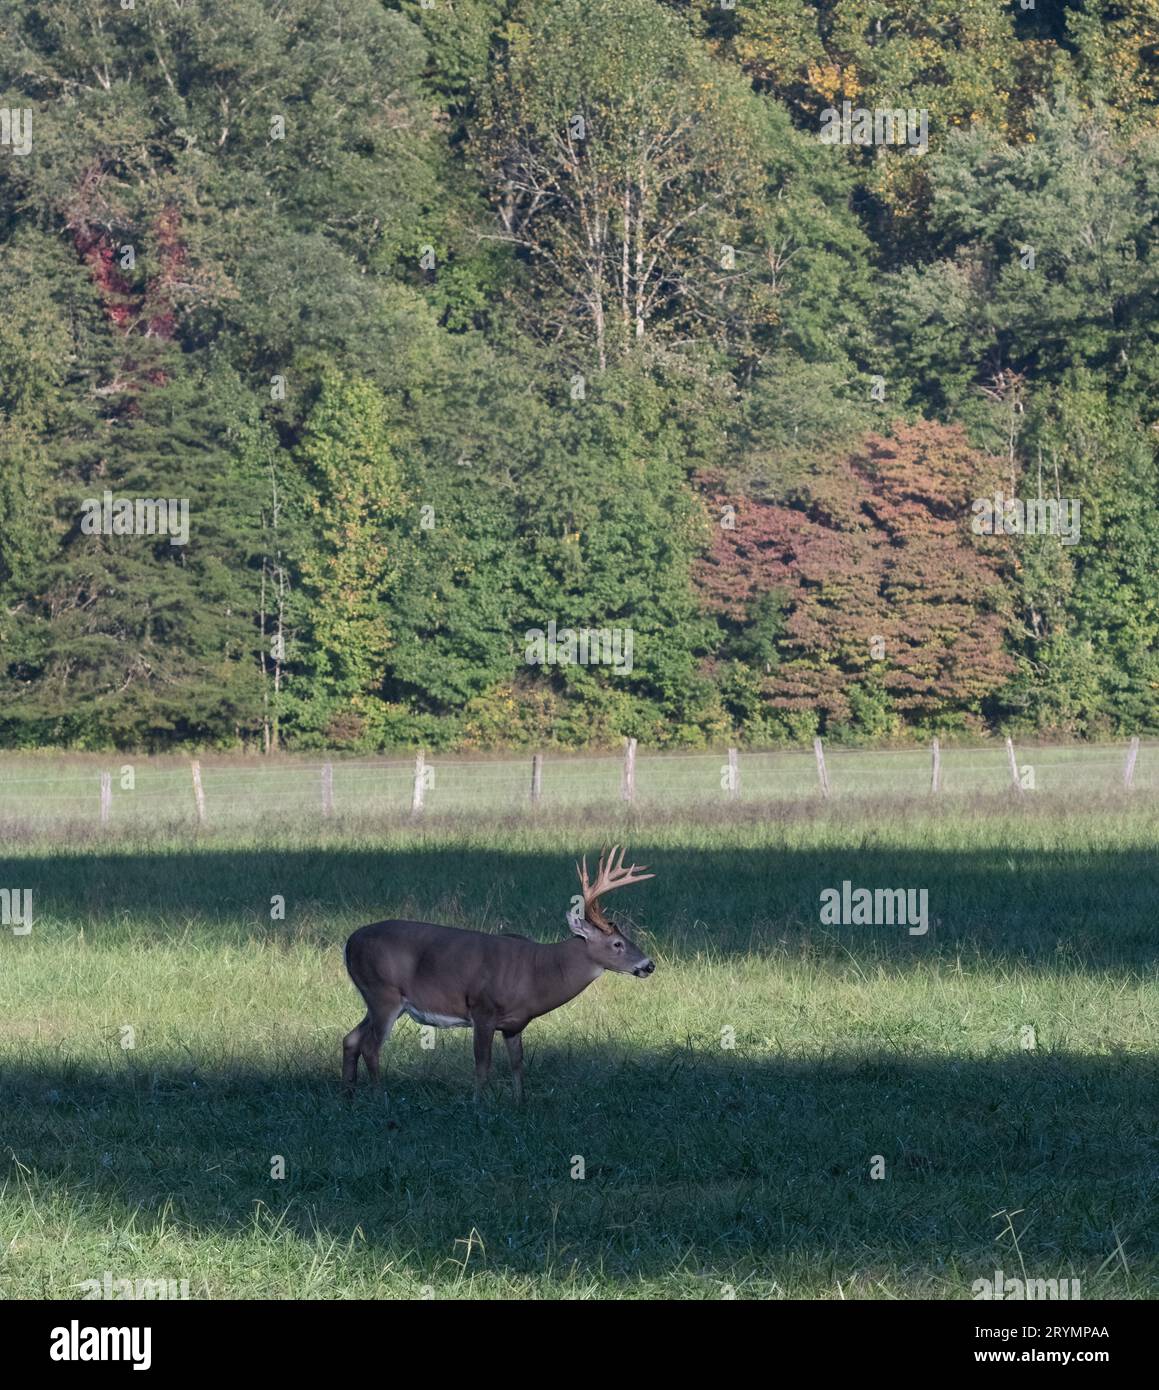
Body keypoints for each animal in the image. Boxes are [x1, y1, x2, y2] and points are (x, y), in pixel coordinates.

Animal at [339, 839, 655, 1100]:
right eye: (617, 943)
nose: (648, 965)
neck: (538, 972)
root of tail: (349, 943)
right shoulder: (483, 1009)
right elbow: (483, 1065)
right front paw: (479, 1105)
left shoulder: (515, 1024)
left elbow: (517, 1065)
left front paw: (519, 1103)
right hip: (383, 993)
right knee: (371, 1046)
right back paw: (380, 1098)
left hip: (378, 999)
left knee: (351, 1039)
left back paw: (349, 1097)